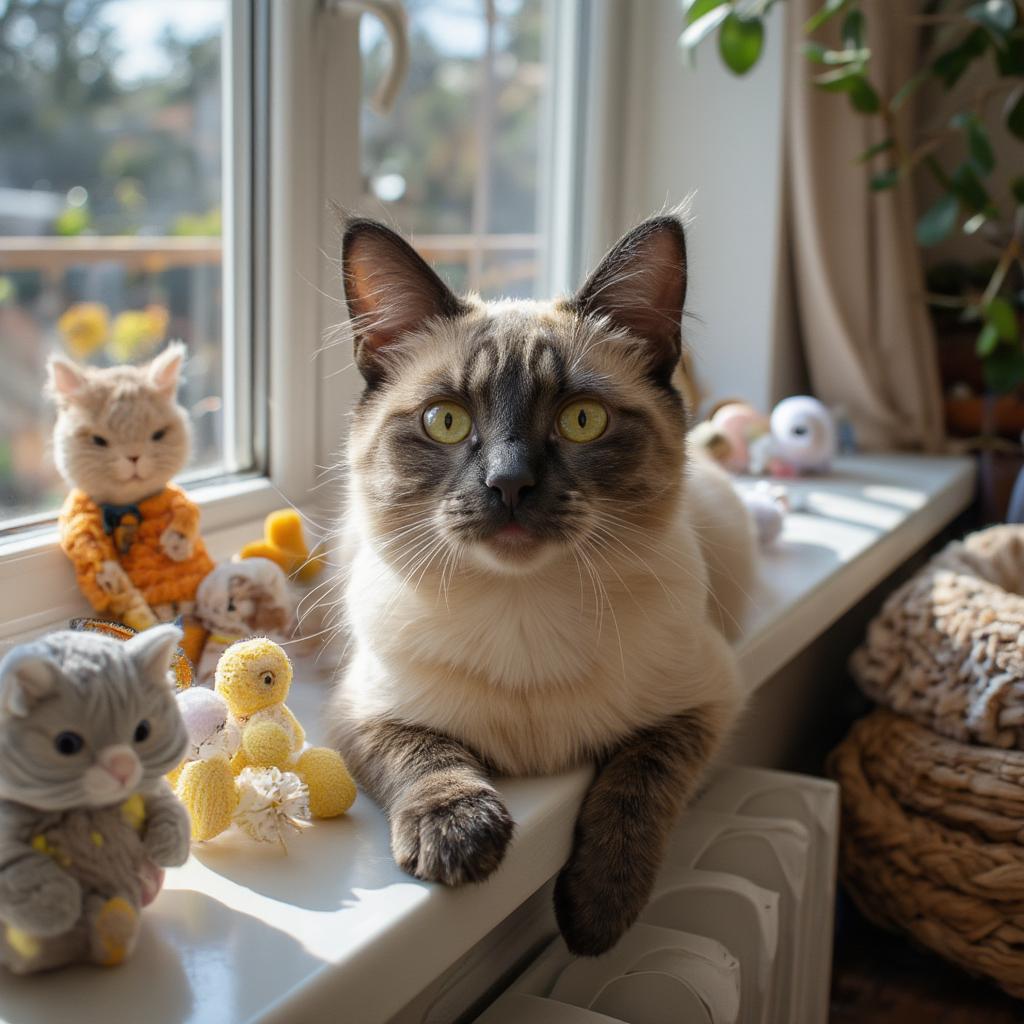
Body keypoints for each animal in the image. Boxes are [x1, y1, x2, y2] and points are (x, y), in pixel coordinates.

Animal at [0, 618, 190, 970]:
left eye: (142, 731)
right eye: (67, 744)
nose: (123, 765)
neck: (92, 809)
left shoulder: (153, 790)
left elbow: (173, 811)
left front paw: (166, 847)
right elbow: (22, 867)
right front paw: (57, 903)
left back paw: (112, 924)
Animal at [47, 344, 214, 663]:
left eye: (158, 435)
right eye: (99, 441)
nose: (134, 456)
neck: (128, 505)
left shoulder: (175, 499)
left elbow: (186, 512)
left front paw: (176, 546)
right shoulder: (81, 516)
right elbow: (88, 545)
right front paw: (107, 576)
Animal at [325, 211, 753, 954]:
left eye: (582, 420)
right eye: (446, 421)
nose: (509, 484)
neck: (521, 609)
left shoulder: (705, 701)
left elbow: (638, 782)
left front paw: (596, 916)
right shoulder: (362, 709)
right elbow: (425, 753)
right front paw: (457, 838)